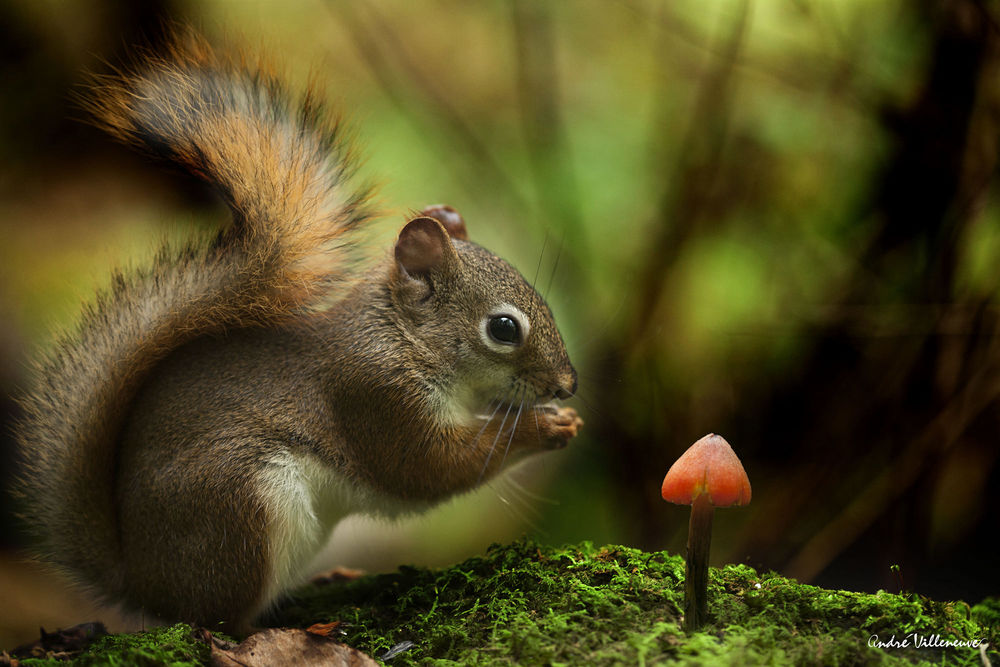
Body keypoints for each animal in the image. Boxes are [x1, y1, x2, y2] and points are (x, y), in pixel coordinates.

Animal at [12, 33, 581, 633]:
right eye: (503, 328)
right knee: (217, 618)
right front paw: (544, 428)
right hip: (241, 504)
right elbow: (433, 469)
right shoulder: (377, 396)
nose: (567, 385)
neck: (403, 338)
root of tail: (144, 584)